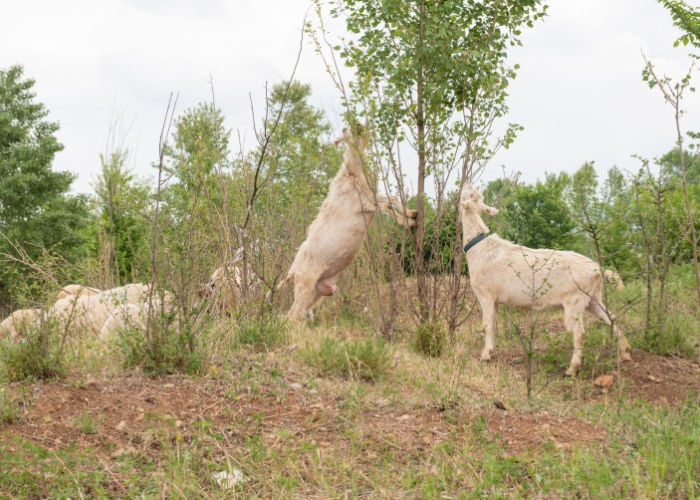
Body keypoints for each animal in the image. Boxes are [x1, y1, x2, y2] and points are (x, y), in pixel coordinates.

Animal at [280, 124, 416, 320]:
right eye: (347, 132)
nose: (359, 126)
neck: (351, 174)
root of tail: (291, 271)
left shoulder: (372, 197)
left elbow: (393, 198)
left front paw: (412, 214)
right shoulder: (364, 204)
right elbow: (388, 205)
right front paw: (408, 222)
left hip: (316, 292)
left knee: (292, 315)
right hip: (304, 285)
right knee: (291, 316)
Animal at [456, 184, 632, 376]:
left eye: (467, 195)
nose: (467, 184)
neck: (479, 247)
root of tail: (597, 269)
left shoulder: (486, 294)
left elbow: (486, 325)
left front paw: (485, 356)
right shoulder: (495, 300)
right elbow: (493, 325)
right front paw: (491, 351)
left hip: (574, 300)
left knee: (579, 333)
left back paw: (572, 368)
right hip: (592, 298)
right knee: (611, 317)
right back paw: (625, 353)